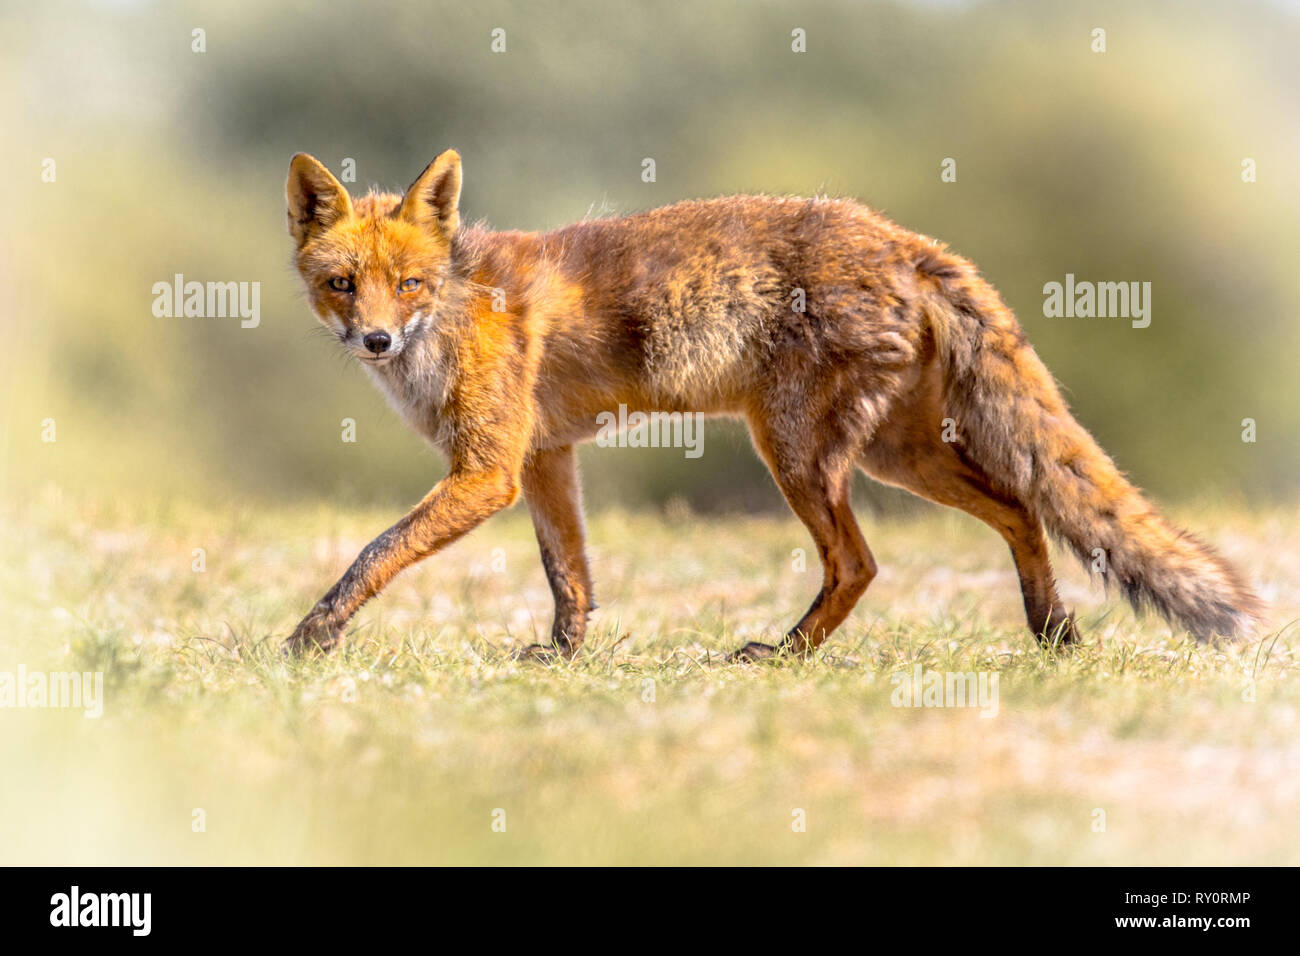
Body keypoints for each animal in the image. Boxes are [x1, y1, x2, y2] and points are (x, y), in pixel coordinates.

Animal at [283, 149, 1262, 660]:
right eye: (343, 285)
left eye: (409, 285)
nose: (376, 342)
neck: (459, 304)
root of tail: (904, 238)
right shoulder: (544, 458)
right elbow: (571, 576)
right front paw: (563, 657)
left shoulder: (487, 472)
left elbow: (375, 552)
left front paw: (312, 633)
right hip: (897, 455)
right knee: (1022, 505)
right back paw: (1053, 629)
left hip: (796, 453)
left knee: (861, 564)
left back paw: (785, 655)